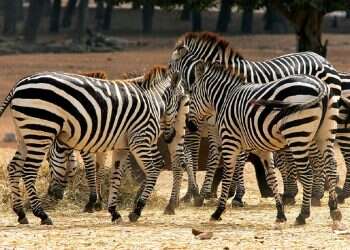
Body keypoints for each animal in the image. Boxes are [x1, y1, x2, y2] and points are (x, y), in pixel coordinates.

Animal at [2, 65, 186, 225]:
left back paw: (21, 213)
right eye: (179, 102)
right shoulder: (140, 140)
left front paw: (114, 212)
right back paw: (42, 215)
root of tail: (19, 84)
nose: (170, 135)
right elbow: (153, 169)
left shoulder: (122, 147)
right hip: (41, 131)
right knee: (28, 171)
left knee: (14, 167)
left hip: (25, 134)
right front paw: (136, 210)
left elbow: (116, 176)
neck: (153, 100)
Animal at [169, 31, 342, 207]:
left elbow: (238, 160)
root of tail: (321, 58)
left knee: (319, 157)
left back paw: (317, 195)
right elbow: (213, 158)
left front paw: (236, 195)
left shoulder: (238, 123)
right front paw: (204, 194)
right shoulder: (215, 127)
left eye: (170, 69)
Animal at [187, 61, 340, 226]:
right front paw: (280, 213)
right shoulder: (263, 149)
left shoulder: (231, 141)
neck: (225, 99)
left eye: (192, 92)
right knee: (331, 167)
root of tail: (320, 85)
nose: (189, 125)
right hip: (325, 134)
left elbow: (228, 174)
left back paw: (303, 214)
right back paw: (334, 209)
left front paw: (218, 211)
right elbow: (271, 178)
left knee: (307, 173)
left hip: (297, 134)